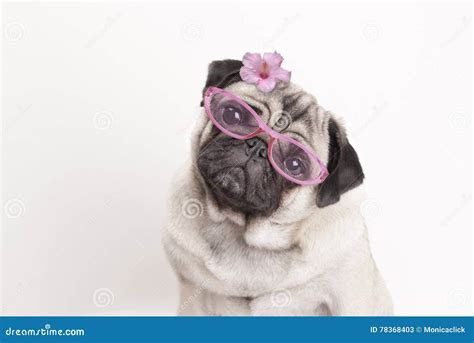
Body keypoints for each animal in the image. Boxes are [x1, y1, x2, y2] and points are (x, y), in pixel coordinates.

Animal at [163, 57, 392, 316]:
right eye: (232, 115)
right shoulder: (192, 292)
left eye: (294, 165)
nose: (257, 147)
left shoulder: (350, 297)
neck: (241, 227)